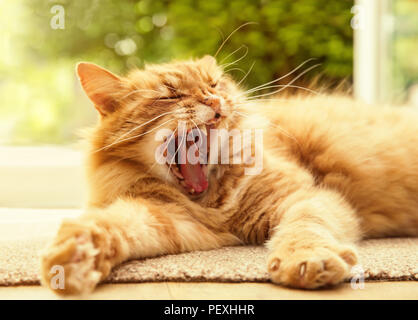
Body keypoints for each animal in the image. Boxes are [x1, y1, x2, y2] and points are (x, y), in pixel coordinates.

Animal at [41, 56, 418, 294]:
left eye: (214, 84)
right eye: (172, 95)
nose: (214, 100)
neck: (212, 202)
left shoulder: (304, 197)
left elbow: (305, 228)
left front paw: (307, 260)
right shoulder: (174, 221)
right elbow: (115, 226)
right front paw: (75, 256)